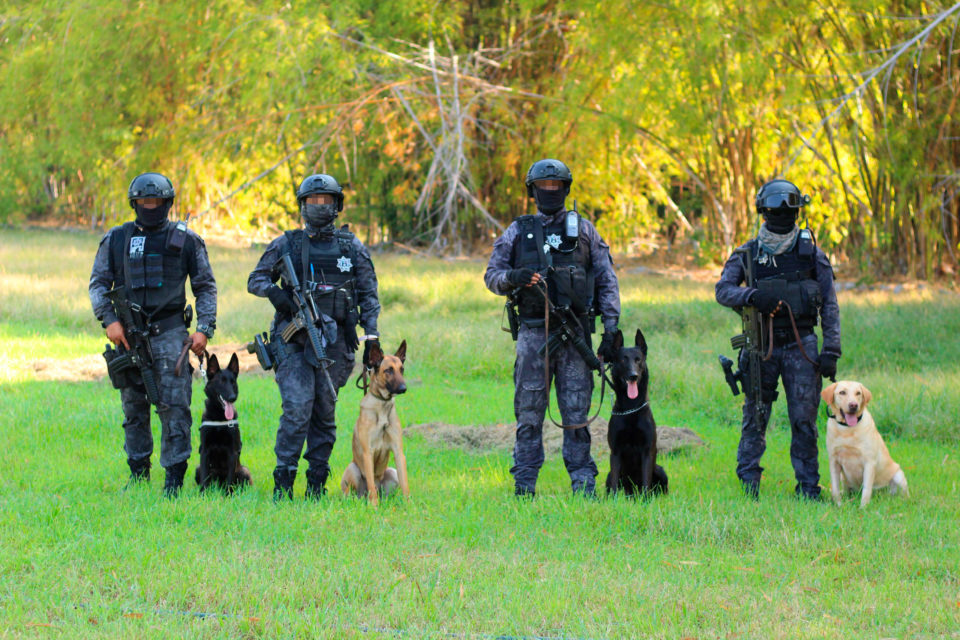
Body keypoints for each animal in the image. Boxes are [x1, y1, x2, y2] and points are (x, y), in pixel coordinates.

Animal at [194, 352, 251, 492]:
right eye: (221, 382)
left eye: (233, 382)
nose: (232, 397)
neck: (219, 416)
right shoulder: (204, 451)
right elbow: (204, 478)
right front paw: (202, 494)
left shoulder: (232, 452)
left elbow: (230, 479)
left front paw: (228, 495)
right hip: (197, 469)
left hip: (244, 471)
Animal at [342, 340, 408, 504]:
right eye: (388, 370)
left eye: (401, 369)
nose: (404, 388)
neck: (382, 404)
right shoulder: (368, 453)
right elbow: (371, 486)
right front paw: (374, 506)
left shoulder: (398, 452)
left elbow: (405, 484)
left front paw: (409, 505)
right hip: (353, 470)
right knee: (359, 492)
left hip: (392, 472)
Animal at [608, 330, 668, 496]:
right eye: (623, 360)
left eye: (638, 360)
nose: (633, 375)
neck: (631, 408)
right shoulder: (615, 451)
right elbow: (614, 484)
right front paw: (613, 500)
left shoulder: (648, 451)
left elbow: (646, 482)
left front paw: (646, 500)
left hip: (660, 470)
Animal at [820, 380, 912, 510]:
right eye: (842, 392)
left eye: (858, 393)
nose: (853, 405)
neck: (847, 430)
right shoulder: (834, 462)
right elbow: (835, 489)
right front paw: (839, 506)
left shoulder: (869, 462)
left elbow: (867, 489)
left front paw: (863, 508)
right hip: (844, 478)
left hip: (898, 476)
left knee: (903, 493)